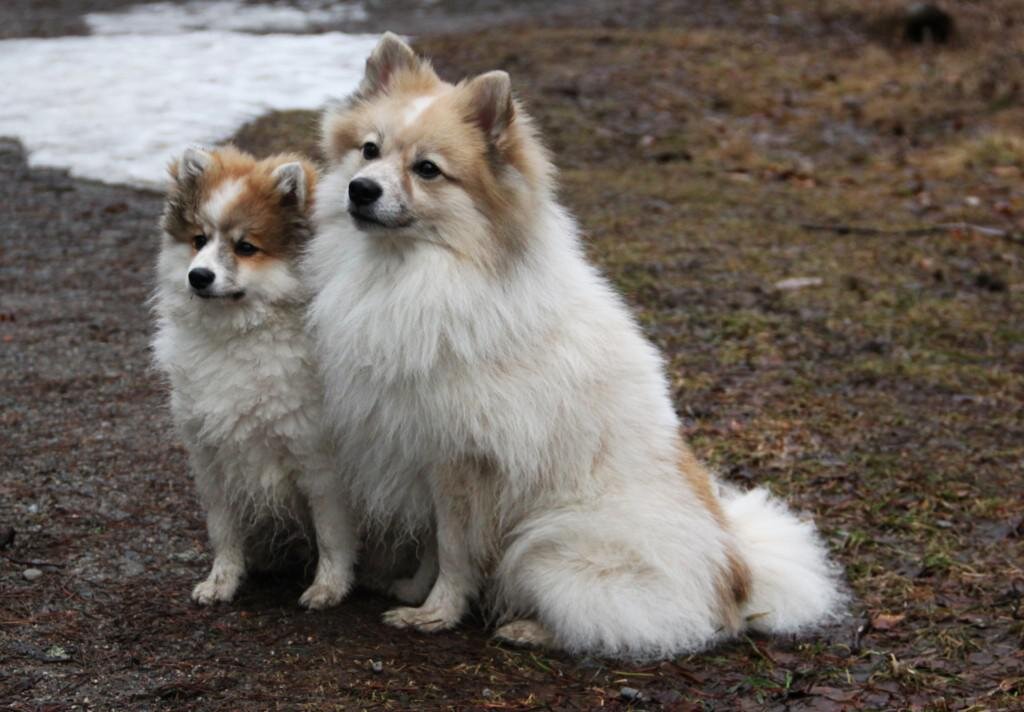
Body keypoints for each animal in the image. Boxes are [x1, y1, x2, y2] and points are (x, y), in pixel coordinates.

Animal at [150, 147, 360, 610]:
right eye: (199, 240)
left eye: (246, 247)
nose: (198, 276)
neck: (240, 334)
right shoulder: (210, 458)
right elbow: (223, 530)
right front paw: (222, 581)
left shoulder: (318, 460)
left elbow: (332, 534)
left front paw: (328, 587)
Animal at [307, 32, 843, 655]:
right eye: (369, 150)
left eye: (428, 170)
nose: (361, 190)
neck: (418, 273)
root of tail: (737, 575)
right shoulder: (417, 447)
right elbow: (434, 543)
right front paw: (415, 589)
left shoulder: (461, 460)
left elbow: (456, 548)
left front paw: (436, 613)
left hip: (547, 546)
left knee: (622, 622)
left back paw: (531, 627)